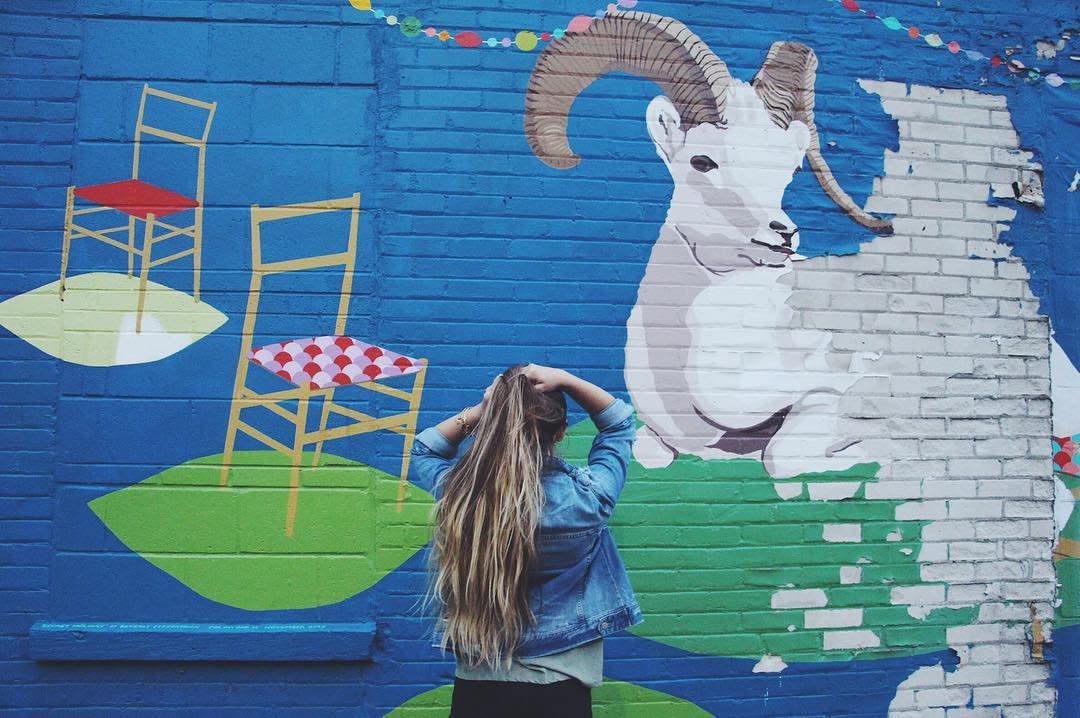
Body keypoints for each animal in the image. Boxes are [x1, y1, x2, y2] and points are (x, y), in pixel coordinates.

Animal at [524, 11, 894, 475]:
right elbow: (649, 454)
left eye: (789, 168)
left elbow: (779, 457)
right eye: (702, 161)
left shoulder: (828, 394)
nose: (783, 235)